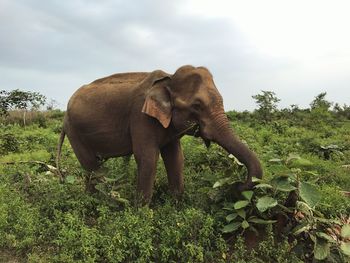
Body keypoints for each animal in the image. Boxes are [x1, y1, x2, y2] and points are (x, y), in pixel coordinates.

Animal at [56, 65, 262, 204]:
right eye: (197, 106)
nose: (237, 185)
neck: (169, 78)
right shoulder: (140, 117)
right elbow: (147, 158)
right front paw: (141, 217)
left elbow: (175, 157)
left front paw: (176, 207)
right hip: (75, 132)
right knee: (93, 167)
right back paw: (100, 202)